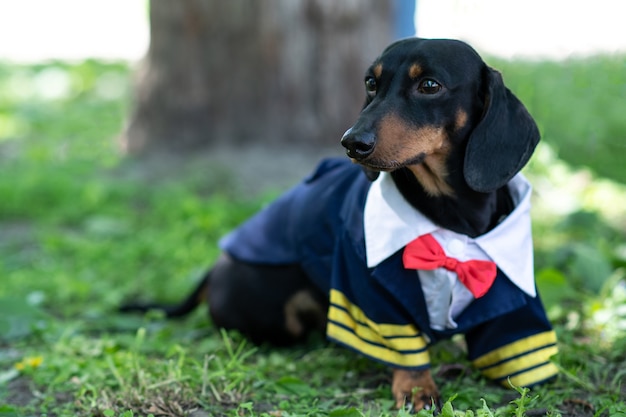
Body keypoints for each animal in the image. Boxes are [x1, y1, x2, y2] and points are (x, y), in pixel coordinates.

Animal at [122, 38, 556, 410]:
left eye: (430, 85)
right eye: (370, 82)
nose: (352, 143)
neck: (451, 218)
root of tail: (215, 268)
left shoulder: (513, 288)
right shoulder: (368, 286)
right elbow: (405, 349)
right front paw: (417, 388)